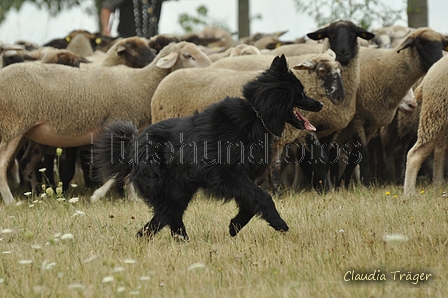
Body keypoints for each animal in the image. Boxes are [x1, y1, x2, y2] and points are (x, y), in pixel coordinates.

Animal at [0, 41, 212, 205]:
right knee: (3, 164)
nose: (211, 66)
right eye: (188, 55)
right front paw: (97, 195)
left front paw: (132, 198)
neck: (142, 84)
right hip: (11, 125)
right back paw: (11, 201)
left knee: (24, 164)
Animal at [96, 55, 324, 240]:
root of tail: (132, 146)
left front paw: (234, 225)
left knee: (162, 219)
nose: (321, 104)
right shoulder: (228, 175)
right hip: (171, 190)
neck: (255, 114)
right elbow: (263, 196)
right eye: (301, 92)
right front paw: (278, 223)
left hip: (180, 191)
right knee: (166, 215)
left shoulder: (243, 178)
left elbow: (251, 203)